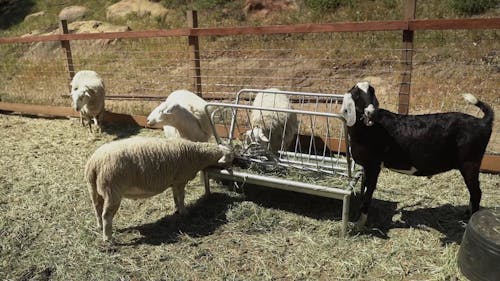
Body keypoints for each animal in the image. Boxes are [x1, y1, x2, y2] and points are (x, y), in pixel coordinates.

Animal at [85, 136, 233, 241]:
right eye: (231, 158)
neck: (198, 155)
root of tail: (95, 163)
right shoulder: (180, 180)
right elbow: (181, 197)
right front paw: (184, 212)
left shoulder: (174, 181)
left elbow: (175, 197)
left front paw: (177, 209)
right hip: (112, 190)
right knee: (106, 215)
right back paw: (108, 238)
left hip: (94, 189)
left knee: (97, 208)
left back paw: (99, 226)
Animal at [342, 81, 494, 228]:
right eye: (356, 95)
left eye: (372, 92)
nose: (371, 112)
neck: (369, 129)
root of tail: (483, 122)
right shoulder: (367, 166)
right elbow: (363, 190)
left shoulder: (374, 165)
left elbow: (369, 192)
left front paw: (359, 223)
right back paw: (467, 213)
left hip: (470, 162)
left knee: (476, 192)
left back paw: (469, 222)